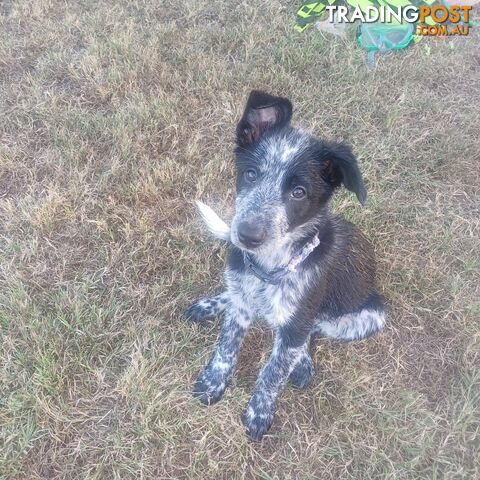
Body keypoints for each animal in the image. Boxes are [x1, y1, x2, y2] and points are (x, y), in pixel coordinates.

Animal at [184, 90, 386, 442]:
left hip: (370, 316)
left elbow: (274, 371)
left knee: (313, 331)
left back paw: (302, 361)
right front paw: (213, 381)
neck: (268, 270)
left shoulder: (297, 321)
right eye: (251, 174)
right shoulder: (241, 304)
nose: (245, 236)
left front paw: (259, 413)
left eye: (298, 192)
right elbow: (226, 345)